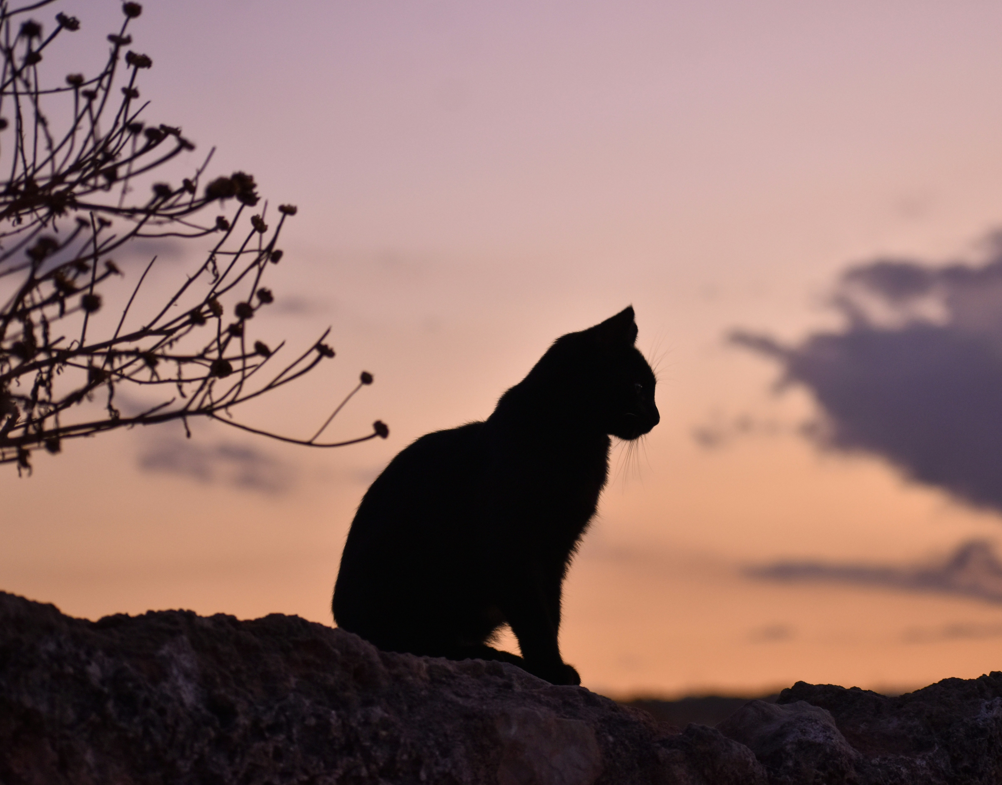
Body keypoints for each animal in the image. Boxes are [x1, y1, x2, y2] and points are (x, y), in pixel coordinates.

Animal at [330, 304, 657, 685]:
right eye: (639, 387)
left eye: (651, 389)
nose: (656, 417)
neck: (577, 444)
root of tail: (345, 623)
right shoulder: (511, 547)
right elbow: (535, 616)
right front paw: (550, 669)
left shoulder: (557, 550)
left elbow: (552, 611)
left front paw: (551, 667)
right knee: (420, 643)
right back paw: (493, 655)